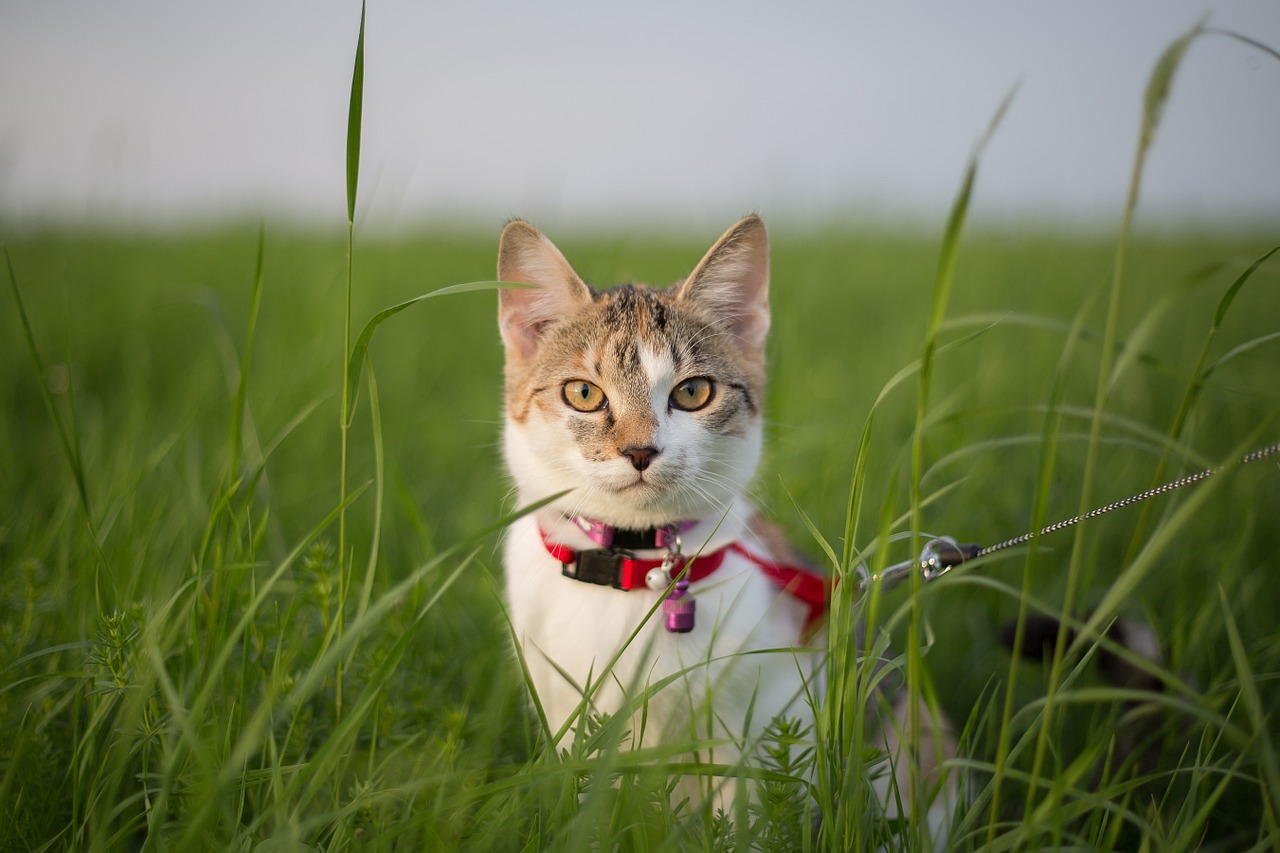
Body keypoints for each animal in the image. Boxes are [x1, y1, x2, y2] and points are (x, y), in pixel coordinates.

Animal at [494, 213, 957, 829]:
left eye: (693, 392)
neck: (634, 567)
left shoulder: (767, 714)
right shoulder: (565, 712)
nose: (640, 450)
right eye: (584, 393)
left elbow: (751, 814)